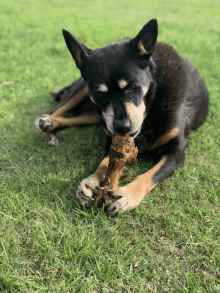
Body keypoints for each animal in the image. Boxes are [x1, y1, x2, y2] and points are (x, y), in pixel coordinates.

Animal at [34, 18, 208, 214]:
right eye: (100, 94)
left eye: (131, 87)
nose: (122, 127)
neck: (153, 100)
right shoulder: (111, 137)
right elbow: (105, 163)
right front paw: (90, 181)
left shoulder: (175, 153)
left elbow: (148, 175)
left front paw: (127, 195)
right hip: (84, 92)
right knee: (54, 110)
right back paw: (46, 126)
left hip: (96, 114)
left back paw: (49, 125)